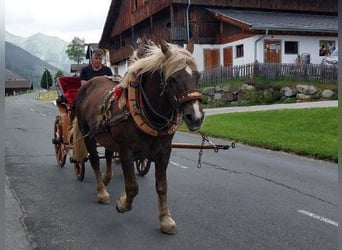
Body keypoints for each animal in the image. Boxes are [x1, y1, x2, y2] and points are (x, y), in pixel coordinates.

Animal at [69, 41, 203, 234]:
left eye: (198, 76)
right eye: (172, 79)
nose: (196, 117)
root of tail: (87, 86)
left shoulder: (164, 151)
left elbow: (162, 186)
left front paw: (165, 219)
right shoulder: (126, 150)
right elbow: (132, 187)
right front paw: (123, 203)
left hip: (107, 136)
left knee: (108, 154)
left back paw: (106, 178)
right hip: (87, 133)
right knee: (94, 160)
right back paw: (101, 191)